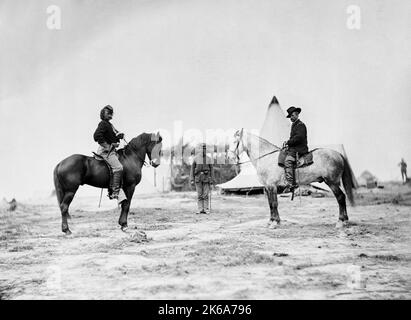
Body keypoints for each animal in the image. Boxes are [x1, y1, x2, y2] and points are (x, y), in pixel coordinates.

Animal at [230, 129, 358, 229]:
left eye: (235, 142)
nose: (230, 157)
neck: (266, 157)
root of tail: (338, 154)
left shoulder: (272, 186)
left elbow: (274, 203)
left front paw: (275, 223)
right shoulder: (267, 187)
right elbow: (271, 204)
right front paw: (272, 221)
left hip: (332, 182)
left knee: (340, 197)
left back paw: (341, 222)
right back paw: (345, 221)